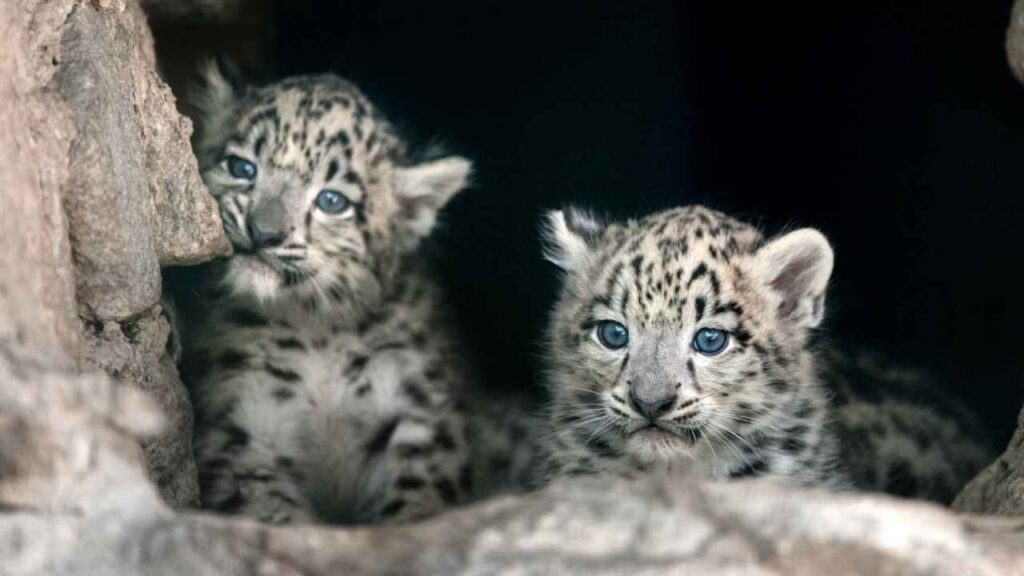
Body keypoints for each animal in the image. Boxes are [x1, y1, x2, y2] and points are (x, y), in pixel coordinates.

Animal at [175, 62, 480, 525]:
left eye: (332, 201)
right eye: (242, 167)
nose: (263, 233)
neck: (317, 332)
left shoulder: (420, 418)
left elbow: (418, 499)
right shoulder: (242, 430)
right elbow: (269, 509)